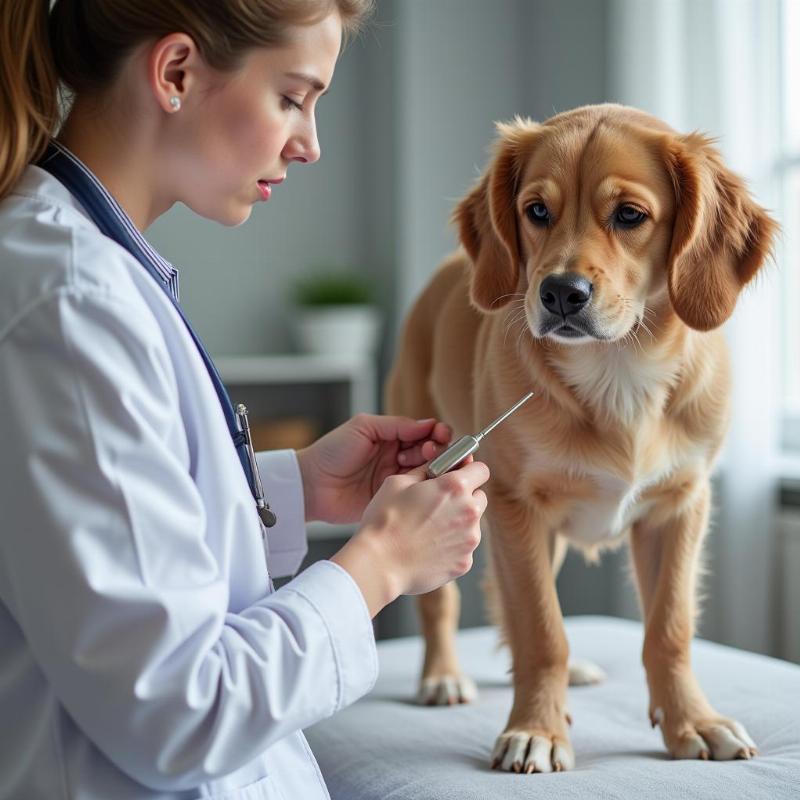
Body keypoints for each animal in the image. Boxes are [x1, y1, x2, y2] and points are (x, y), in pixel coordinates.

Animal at [384, 106, 780, 776]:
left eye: (630, 215)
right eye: (537, 211)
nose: (560, 293)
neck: (619, 374)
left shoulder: (681, 506)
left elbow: (668, 629)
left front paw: (692, 722)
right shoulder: (515, 506)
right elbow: (542, 630)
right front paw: (536, 729)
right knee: (445, 605)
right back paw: (442, 677)